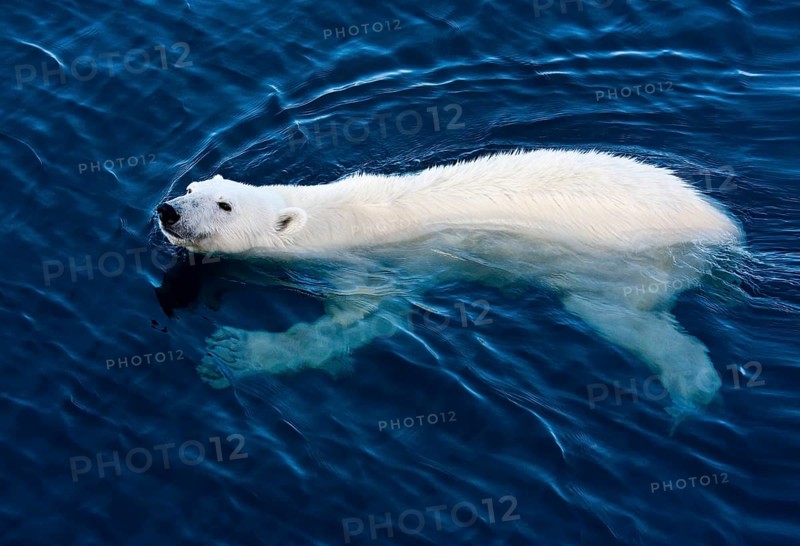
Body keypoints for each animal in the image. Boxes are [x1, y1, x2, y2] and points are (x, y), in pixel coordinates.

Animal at [156, 149, 743, 416]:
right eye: (192, 187)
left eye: (224, 205)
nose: (168, 210)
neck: (328, 218)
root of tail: (721, 232)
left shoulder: (372, 265)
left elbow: (363, 321)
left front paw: (233, 353)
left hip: (616, 267)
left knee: (618, 315)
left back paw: (690, 387)